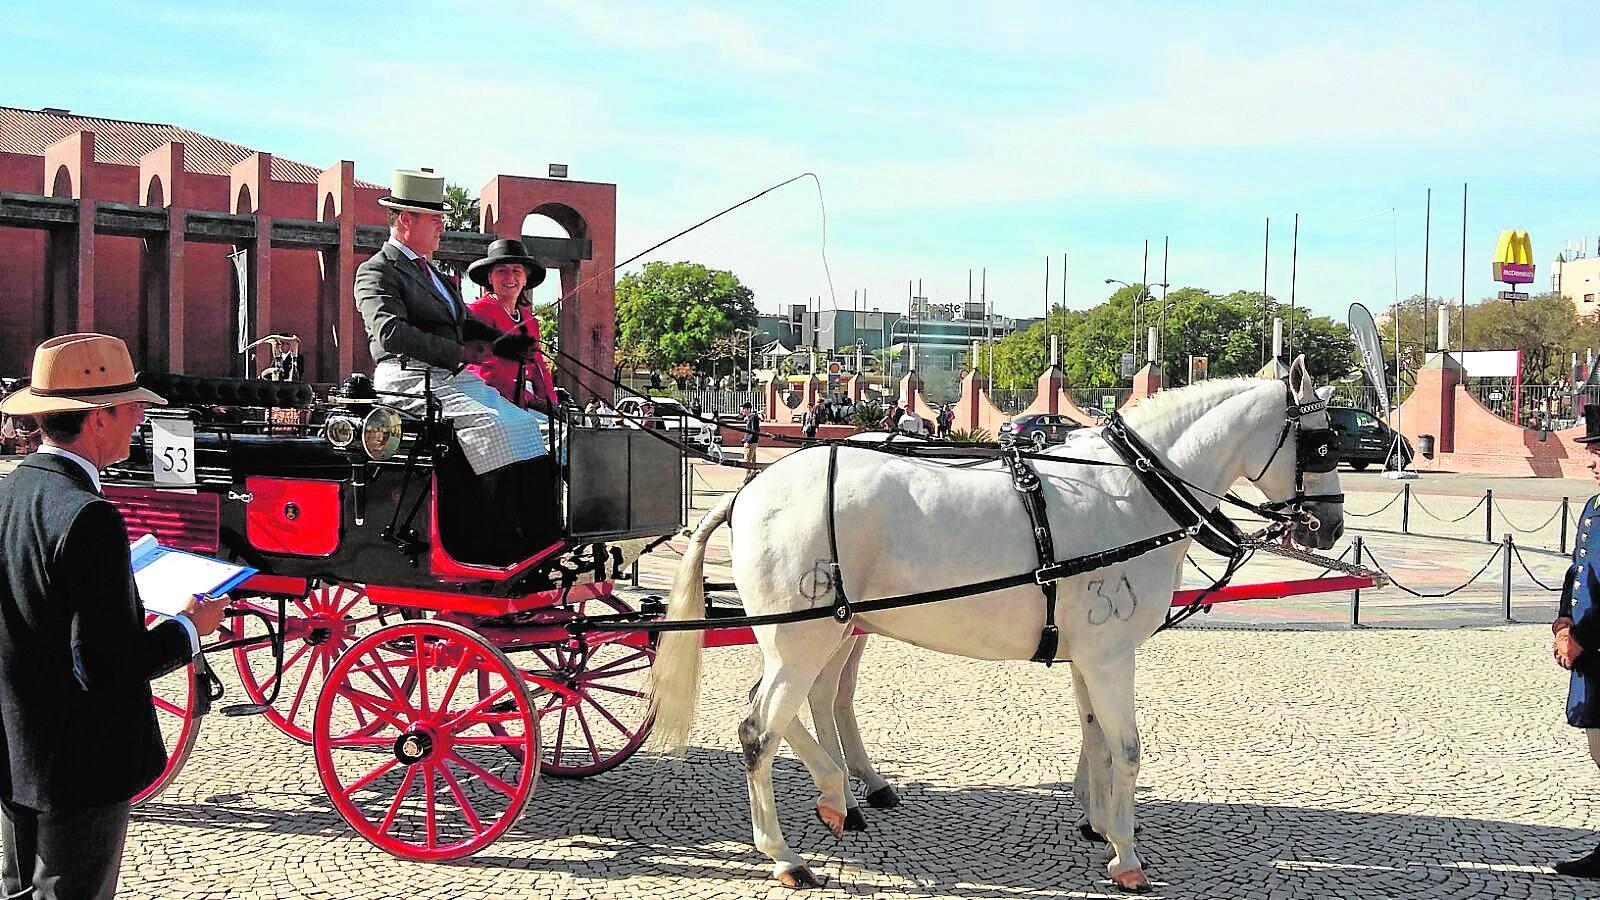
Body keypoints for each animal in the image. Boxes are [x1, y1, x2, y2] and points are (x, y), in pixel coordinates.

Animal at [646, 358, 1337, 890]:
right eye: (1323, 441)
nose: (1328, 526)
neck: (1133, 492)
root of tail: (748, 491)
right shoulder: (1111, 655)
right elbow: (1126, 749)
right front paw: (1127, 856)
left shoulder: (1090, 656)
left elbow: (1095, 738)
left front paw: (1099, 824)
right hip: (800, 640)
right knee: (758, 730)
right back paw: (784, 853)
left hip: (826, 631)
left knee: (798, 705)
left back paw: (838, 790)